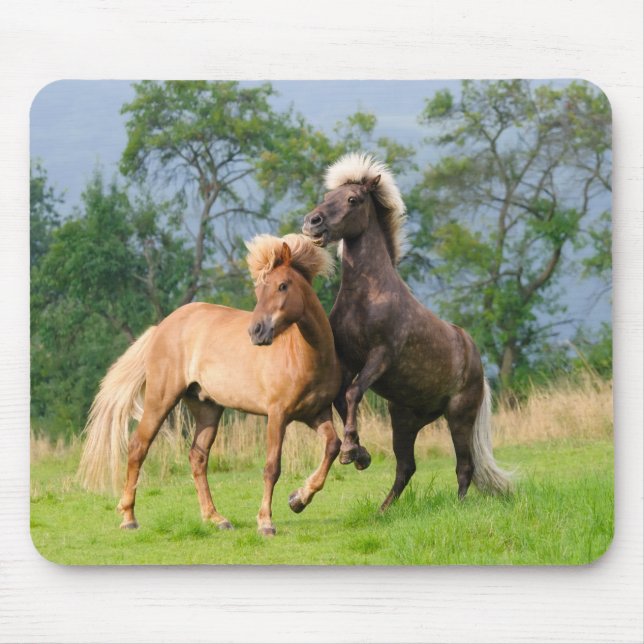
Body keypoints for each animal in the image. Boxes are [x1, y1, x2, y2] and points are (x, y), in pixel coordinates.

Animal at [78, 234, 342, 536]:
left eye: (282, 285)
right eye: (258, 290)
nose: (256, 331)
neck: (307, 356)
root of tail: (161, 327)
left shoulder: (316, 413)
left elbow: (333, 447)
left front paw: (298, 499)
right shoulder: (277, 415)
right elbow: (272, 467)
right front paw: (265, 522)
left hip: (207, 408)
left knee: (197, 457)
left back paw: (215, 518)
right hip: (161, 399)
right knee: (138, 447)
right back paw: (129, 518)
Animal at [302, 153, 512, 511]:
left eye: (353, 199)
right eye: (328, 196)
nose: (312, 222)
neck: (367, 296)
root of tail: (478, 366)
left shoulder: (381, 356)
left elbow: (353, 394)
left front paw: (349, 451)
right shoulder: (347, 361)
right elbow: (342, 399)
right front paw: (360, 454)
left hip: (459, 416)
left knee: (464, 466)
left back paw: (457, 507)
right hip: (404, 419)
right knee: (406, 467)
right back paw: (382, 511)